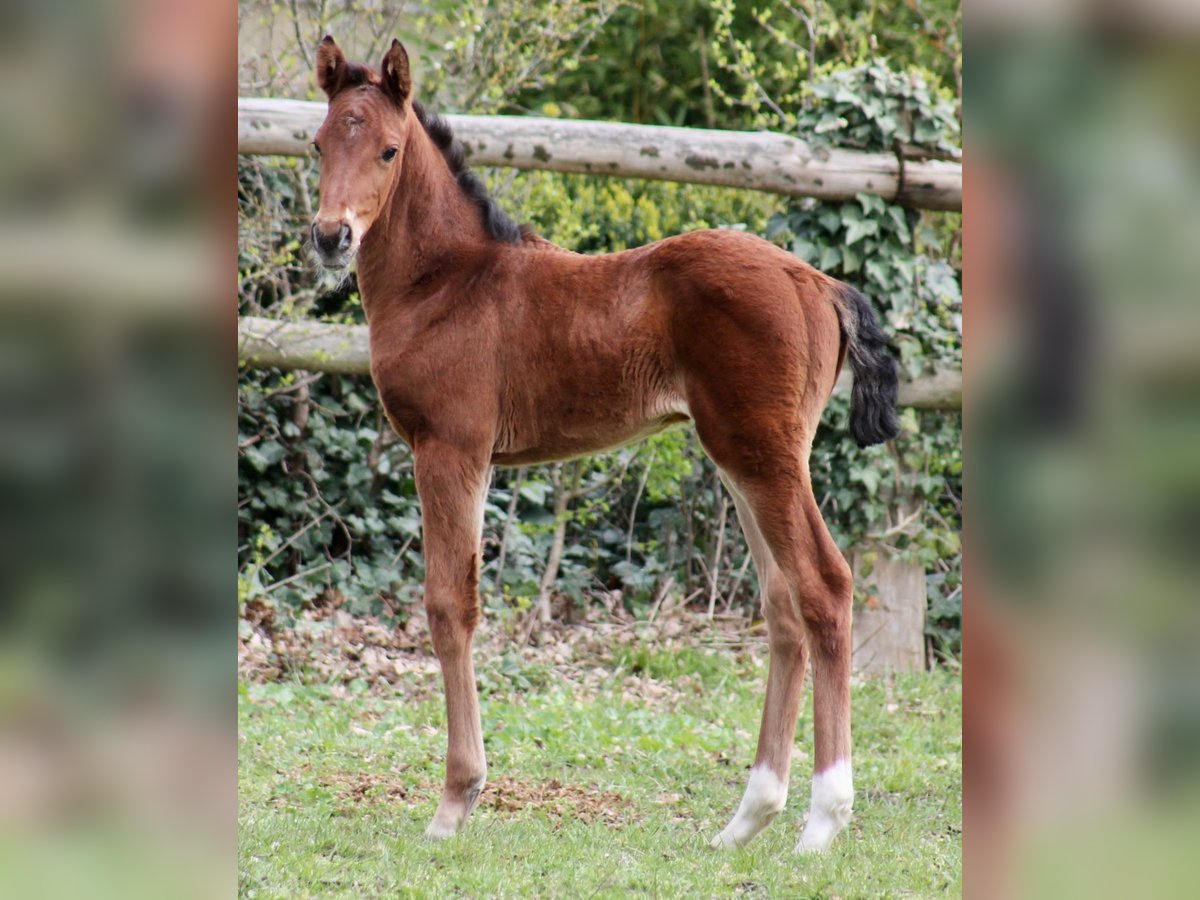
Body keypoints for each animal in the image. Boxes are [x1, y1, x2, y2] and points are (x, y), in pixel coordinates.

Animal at [304, 35, 897, 854]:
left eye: (389, 150)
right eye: (319, 143)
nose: (330, 238)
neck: (447, 282)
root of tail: (816, 281)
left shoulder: (450, 449)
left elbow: (450, 605)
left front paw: (455, 802)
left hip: (765, 457)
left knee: (825, 587)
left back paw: (821, 823)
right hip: (743, 460)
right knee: (783, 605)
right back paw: (746, 821)